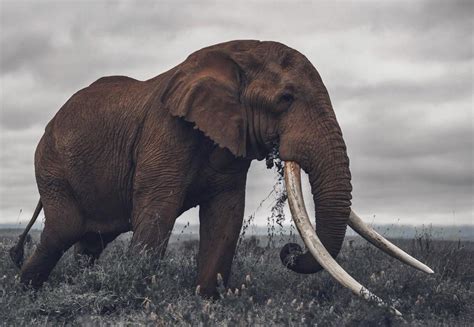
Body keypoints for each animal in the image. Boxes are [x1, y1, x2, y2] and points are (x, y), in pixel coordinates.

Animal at [10, 41, 434, 316]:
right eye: (286, 99)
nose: (289, 251)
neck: (234, 56)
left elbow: (225, 215)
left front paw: (208, 304)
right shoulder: (166, 129)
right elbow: (157, 212)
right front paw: (138, 301)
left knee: (91, 242)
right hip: (50, 165)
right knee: (63, 231)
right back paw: (25, 296)